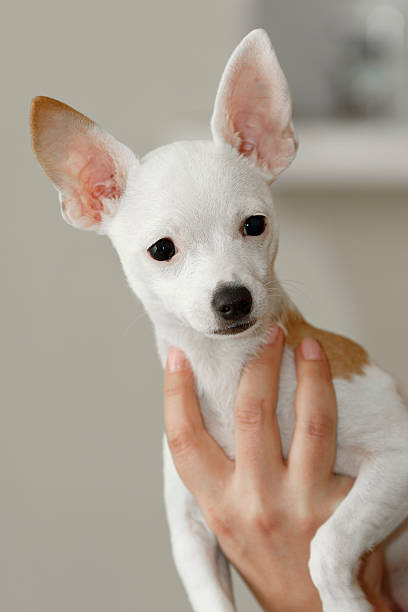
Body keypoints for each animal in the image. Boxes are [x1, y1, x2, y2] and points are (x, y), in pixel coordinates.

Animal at [30, 29, 406, 612]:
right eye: (162, 249)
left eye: (254, 225)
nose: (233, 299)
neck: (228, 373)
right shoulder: (191, 530)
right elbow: (208, 594)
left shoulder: (397, 456)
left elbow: (327, 543)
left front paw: (344, 600)